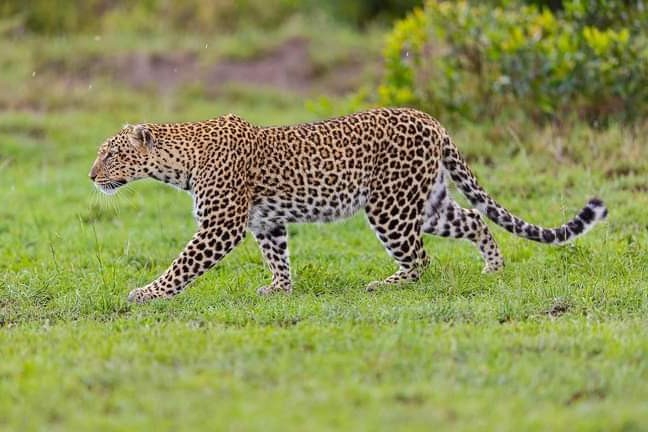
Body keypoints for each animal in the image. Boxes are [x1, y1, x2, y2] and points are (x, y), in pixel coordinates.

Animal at [88, 108, 607, 303]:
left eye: (111, 154)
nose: (91, 175)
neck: (180, 161)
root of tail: (430, 118)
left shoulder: (222, 225)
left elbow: (182, 264)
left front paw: (147, 293)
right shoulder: (266, 221)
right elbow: (277, 256)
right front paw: (280, 289)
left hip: (389, 206)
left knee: (421, 260)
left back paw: (386, 284)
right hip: (427, 202)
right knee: (474, 218)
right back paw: (493, 269)